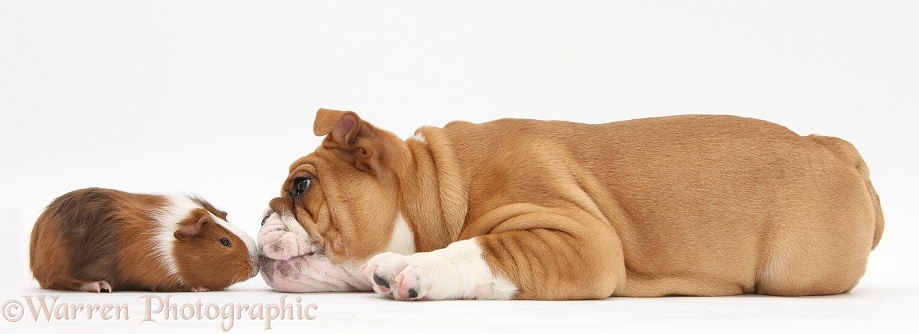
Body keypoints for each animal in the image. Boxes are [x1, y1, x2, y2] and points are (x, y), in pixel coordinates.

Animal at [258, 109, 884, 300]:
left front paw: (413, 268)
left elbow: (482, 250)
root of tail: (837, 150)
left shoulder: (582, 238)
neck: (439, 181)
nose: (263, 211)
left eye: (301, 187)